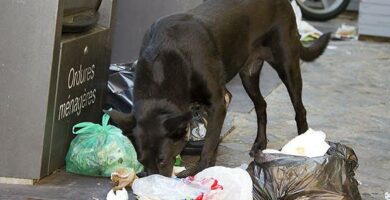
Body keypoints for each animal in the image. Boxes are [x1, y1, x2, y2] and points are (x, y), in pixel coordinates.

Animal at [106, 0, 330, 178]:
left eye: (162, 160)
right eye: (141, 161)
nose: (152, 179)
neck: (164, 59)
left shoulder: (218, 102)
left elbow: (210, 142)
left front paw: (201, 169)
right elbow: (211, 138)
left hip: (287, 65)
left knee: (299, 108)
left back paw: (304, 142)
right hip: (248, 75)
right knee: (261, 105)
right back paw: (260, 143)